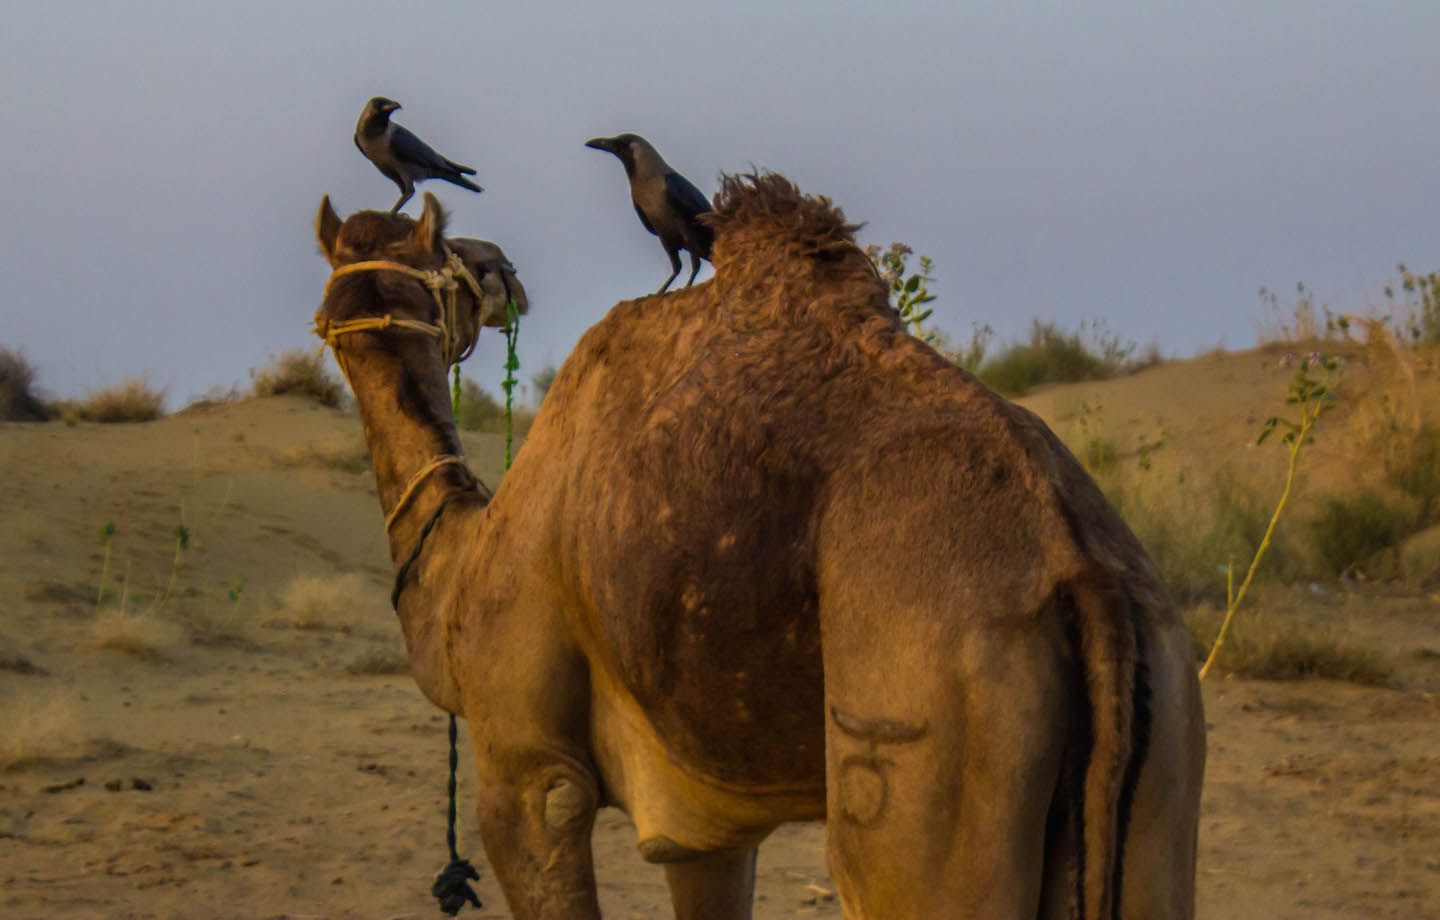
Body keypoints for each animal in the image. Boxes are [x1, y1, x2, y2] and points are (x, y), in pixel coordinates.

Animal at [312, 179, 1204, 919]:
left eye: (444, 247)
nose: (503, 267)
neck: (464, 562)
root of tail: (1083, 571)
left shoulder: (529, 772)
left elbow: (546, 807)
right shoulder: (705, 829)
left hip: (925, 762)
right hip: (1159, 745)